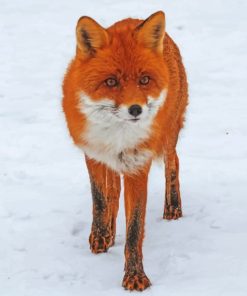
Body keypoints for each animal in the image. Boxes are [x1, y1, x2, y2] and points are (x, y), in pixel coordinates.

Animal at [61, 11, 187, 292]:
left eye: (144, 80)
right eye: (111, 81)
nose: (136, 110)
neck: (117, 136)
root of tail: (134, 18)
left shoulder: (137, 165)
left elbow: (134, 229)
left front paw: (135, 276)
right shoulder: (94, 154)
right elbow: (100, 200)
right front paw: (100, 235)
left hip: (168, 135)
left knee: (174, 162)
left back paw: (172, 208)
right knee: (112, 192)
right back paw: (107, 231)